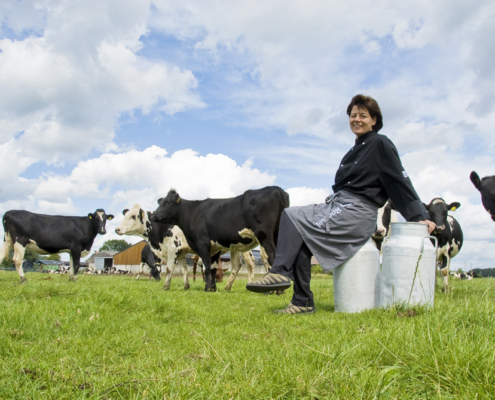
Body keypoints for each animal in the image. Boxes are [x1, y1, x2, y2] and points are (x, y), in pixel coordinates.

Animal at [153, 184, 288, 290]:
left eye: (167, 203)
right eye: (160, 203)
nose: (153, 215)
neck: (192, 213)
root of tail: (277, 189)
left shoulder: (202, 243)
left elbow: (207, 267)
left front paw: (207, 288)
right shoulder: (215, 247)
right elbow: (212, 268)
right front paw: (212, 288)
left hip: (265, 236)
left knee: (271, 257)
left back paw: (276, 290)